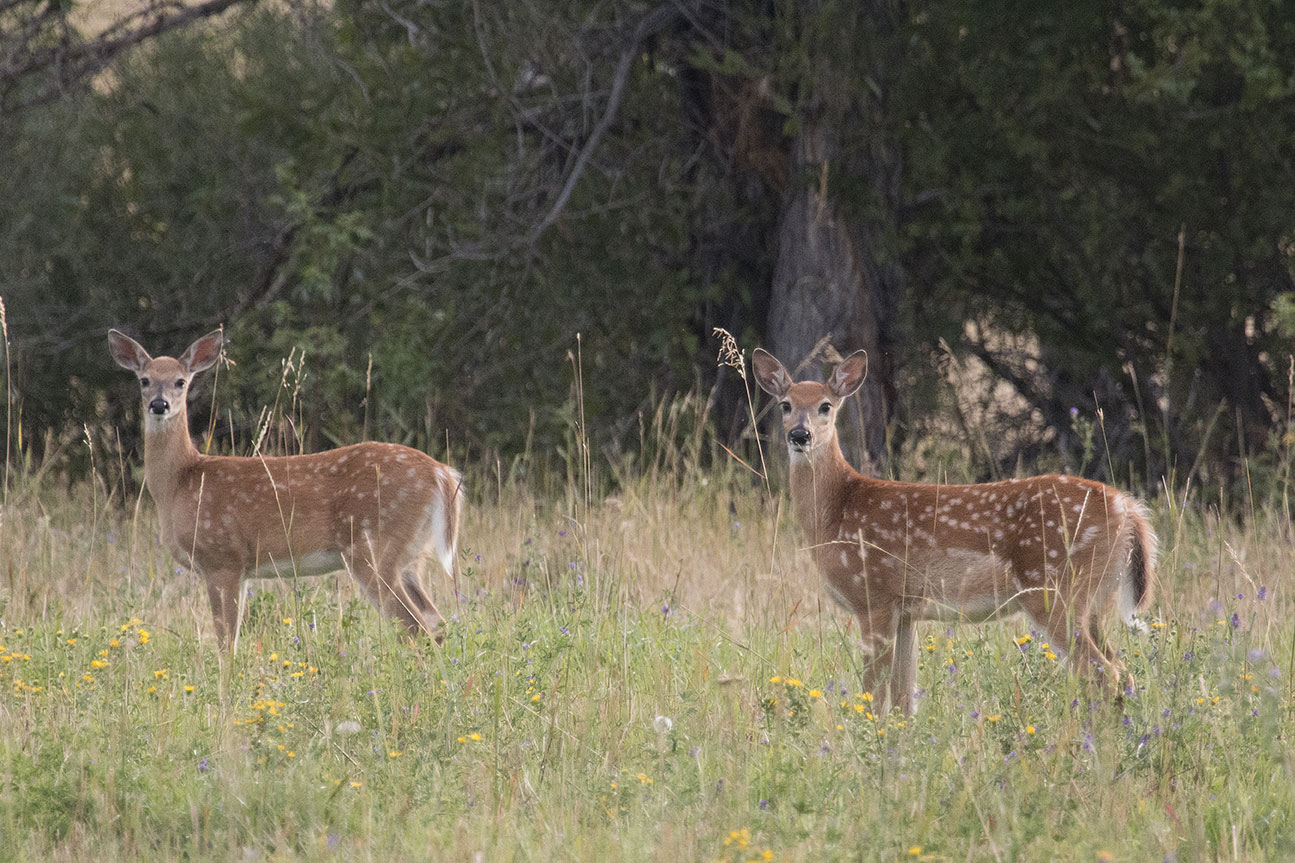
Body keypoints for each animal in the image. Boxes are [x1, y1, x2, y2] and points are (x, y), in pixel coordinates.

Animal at [108, 326, 466, 647]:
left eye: (180, 382)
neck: (180, 482)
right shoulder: (238, 569)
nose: (159, 405)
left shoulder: (222, 558)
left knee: (415, 626)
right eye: (144, 380)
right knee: (437, 623)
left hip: (374, 547)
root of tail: (442, 474)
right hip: (410, 556)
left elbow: (226, 643)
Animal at [756, 344, 1160, 710]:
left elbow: (873, 696)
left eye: (825, 405)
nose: (800, 435)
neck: (836, 513)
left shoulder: (874, 595)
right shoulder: (906, 610)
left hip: (1054, 588)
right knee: (1122, 673)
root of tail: (1129, 510)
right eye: (785, 405)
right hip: (1094, 599)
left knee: (1102, 673)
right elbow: (903, 698)